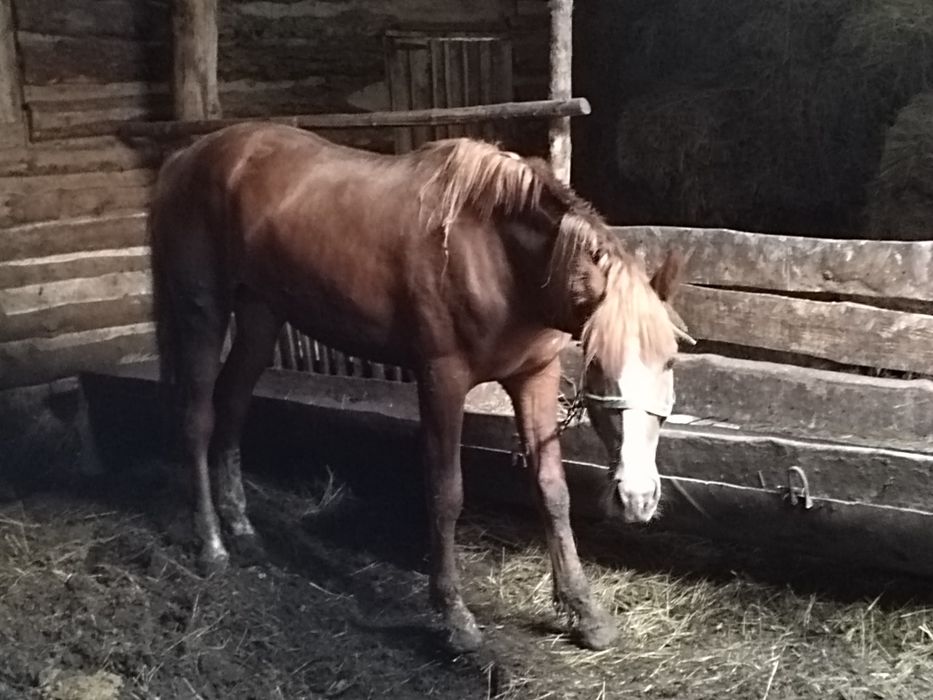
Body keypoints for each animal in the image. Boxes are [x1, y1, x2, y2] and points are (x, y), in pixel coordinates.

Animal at [149, 122, 686, 653]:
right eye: (599, 362)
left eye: (669, 360)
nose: (638, 499)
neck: (500, 257)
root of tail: (185, 158)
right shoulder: (442, 378)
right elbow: (446, 491)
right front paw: (455, 616)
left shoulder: (535, 375)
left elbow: (552, 491)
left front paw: (585, 613)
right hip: (203, 311)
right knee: (198, 418)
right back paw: (212, 546)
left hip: (260, 315)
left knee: (232, 405)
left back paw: (242, 530)